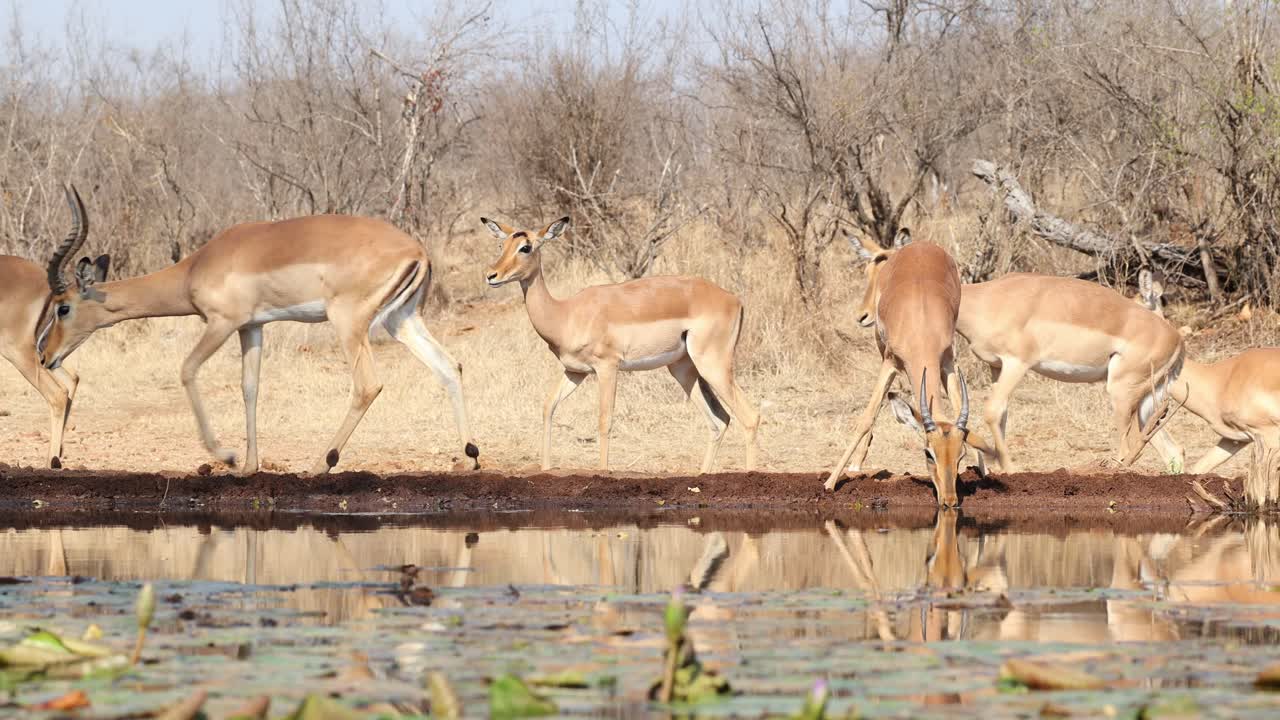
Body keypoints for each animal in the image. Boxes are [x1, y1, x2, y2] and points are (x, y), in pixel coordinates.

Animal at [0, 187, 83, 468]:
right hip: (43, 351)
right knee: (72, 380)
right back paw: (58, 454)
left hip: (18, 351)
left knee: (57, 393)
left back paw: (52, 460)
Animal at [37, 198, 479, 475]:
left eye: (63, 307)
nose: (44, 355)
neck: (197, 266)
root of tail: (417, 251)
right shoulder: (252, 327)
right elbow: (250, 387)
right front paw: (249, 466)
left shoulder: (222, 323)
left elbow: (187, 369)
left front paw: (228, 458)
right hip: (401, 320)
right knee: (449, 366)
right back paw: (470, 457)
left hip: (349, 323)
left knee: (368, 385)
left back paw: (320, 464)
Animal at [480, 215, 760, 473]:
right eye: (501, 244)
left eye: (526, 247)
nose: (491, 275)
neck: (566, 314)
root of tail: (734, 300)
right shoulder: (575, 372)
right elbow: (548, 407)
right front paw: (546, 469)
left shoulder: (608, 367)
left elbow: (604, 420)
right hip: (684, 370)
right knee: (719, 420)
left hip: (713, 366)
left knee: (750, 417)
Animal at [824, 229, 993, 507]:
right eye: (928, 452)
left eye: (959, 455)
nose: (949, 500)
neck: (920, 324)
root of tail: (919, 245)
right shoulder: (889, 362)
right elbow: (866, 416)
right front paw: (830, 482)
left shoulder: (948, 360)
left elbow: (960, 405)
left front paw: (985, 470)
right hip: (881, 348)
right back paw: (855, 466)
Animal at [955, 273, 1185, 473]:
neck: (987, 298)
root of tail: (1177, 339)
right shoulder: (996, 366)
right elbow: (1002, 414)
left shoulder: (1017, 363)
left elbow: (992, 411)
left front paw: (1011, 470)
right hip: (1148, 402)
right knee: (1173, 451)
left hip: (1122, 394)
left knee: (1126, 452)